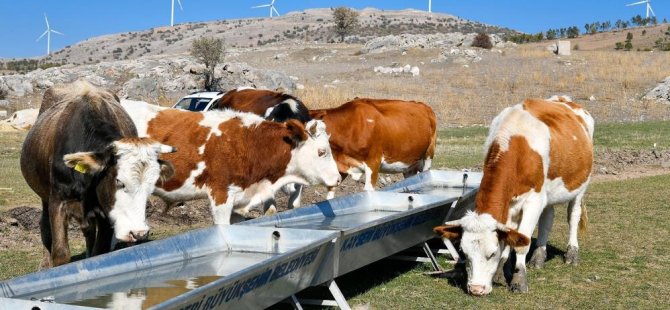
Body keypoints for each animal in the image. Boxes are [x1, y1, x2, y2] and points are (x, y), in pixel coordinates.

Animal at [22, 81, 176, 268]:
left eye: (151, 186)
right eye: (119, 181)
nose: (139, 233)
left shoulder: (106, 212)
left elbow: (100, 252)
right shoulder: (58, 201)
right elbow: (61, 253)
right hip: (44, 197)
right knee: (45, 225)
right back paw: (45, 263)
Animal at [438, 96, 596, 296]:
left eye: (491, 253)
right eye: (465, 254)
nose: (476, 289)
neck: (516, 142)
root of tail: (564, 100)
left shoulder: (533, 201)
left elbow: (521, 242)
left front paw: (519, 280)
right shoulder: (511, 204)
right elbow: (509, 236)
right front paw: (500, 272)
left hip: (580, 185)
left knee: (573, 215)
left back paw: (572, 253)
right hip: (547, 194)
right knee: (548, 218)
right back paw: (538, 257)